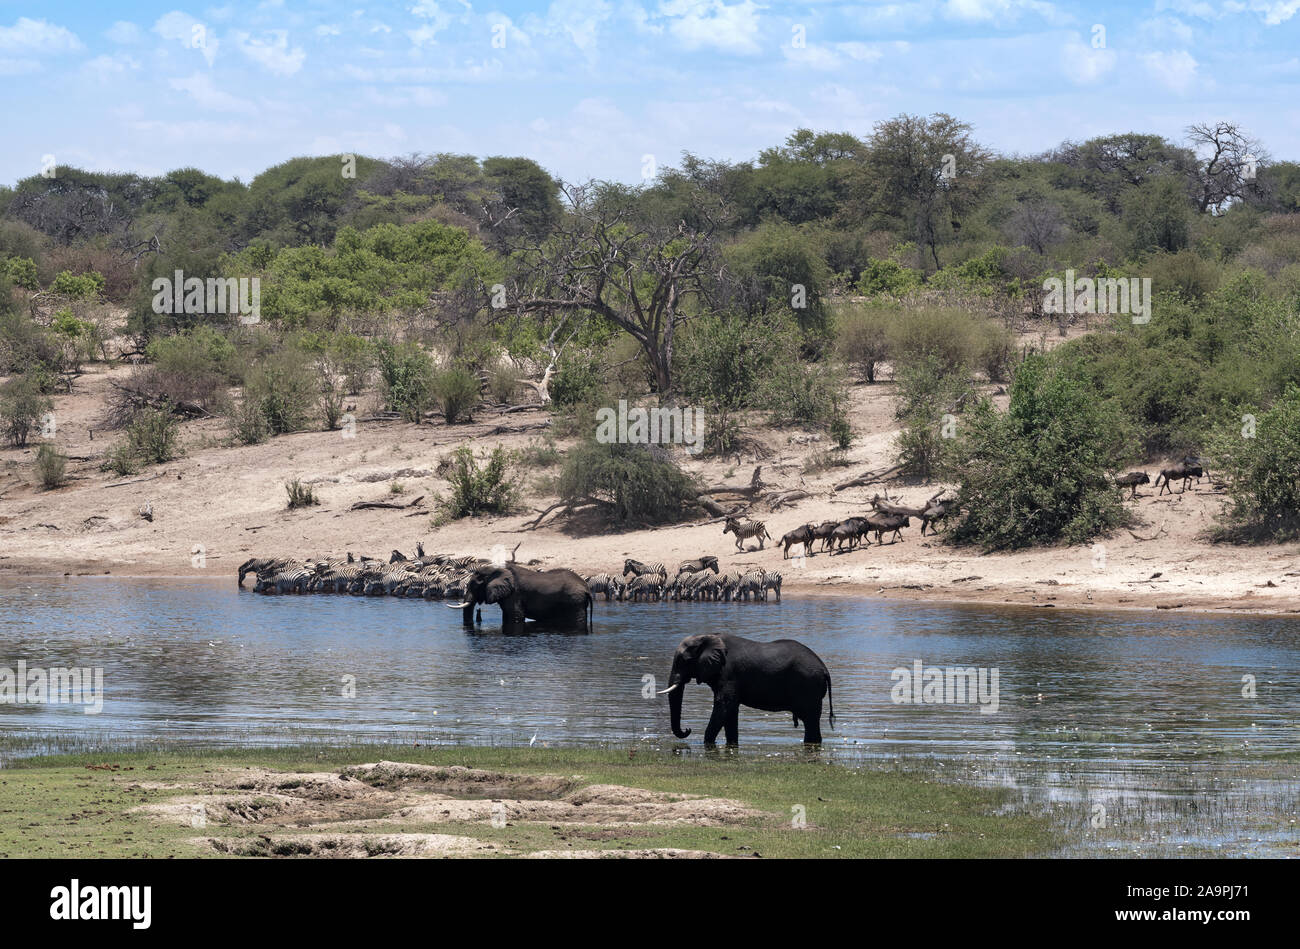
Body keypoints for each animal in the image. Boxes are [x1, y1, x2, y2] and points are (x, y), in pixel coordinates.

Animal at [444, 561, 592, 629]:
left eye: (473, 585)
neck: (497, 570)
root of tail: (587, 588)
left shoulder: (515, 593)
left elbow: (515, 616)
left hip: (574, 600)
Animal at [660, 631, 832, 743]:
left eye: (684, 660)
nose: (688, 730)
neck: (707, 636)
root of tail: (824, 669)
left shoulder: (728, 673)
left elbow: (724, 705)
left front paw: (708, 743)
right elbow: (730, 711)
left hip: (809, 685)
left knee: (810, 721)